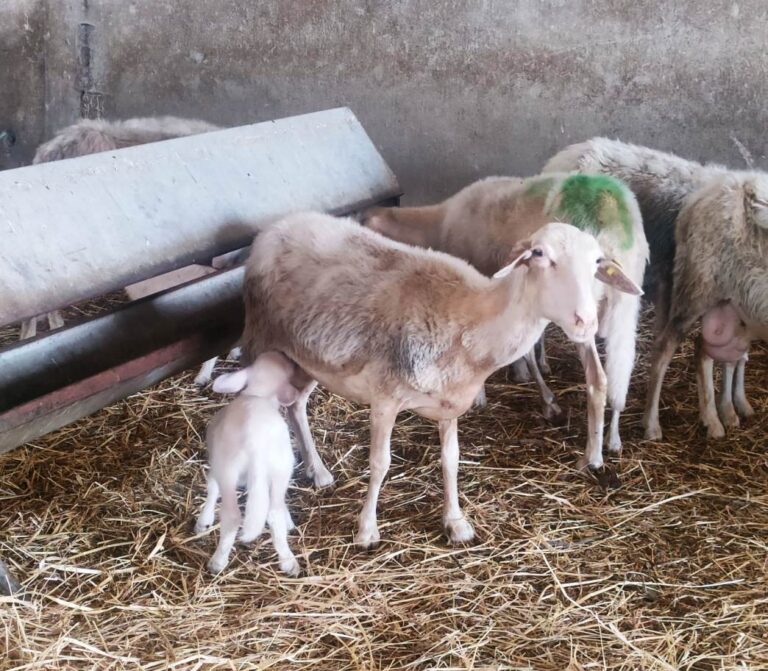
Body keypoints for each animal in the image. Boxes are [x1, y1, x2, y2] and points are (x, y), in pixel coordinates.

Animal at [195, 351, 301, 575]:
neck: (258, 394)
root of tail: (255, 444)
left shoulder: (216, 463)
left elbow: (211, 489)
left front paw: (203, 521)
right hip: (282, 466)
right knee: (274, 512)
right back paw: (289, 562)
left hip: (227, 469)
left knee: (232, 516)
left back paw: (217, 562)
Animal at [242, 211, 640, 547]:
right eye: (540, 254)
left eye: (596, 263)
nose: (585, 321)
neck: (475, 321)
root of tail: (277, 225)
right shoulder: (385, 398)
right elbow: (380, 463)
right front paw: (367, 530)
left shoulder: (450, 401)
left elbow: (451, 459)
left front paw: (456, 522)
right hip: (263, 343)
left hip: (305, 358)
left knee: (297, 406)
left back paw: (319, 471)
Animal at [362, 173, 648, 468]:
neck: (439, 222)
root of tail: (613, 211)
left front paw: (489, 395)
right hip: (626, 297)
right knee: (613, 374)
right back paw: (608, 444)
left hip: (580, 312)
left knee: (596, 376)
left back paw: (592, 454)